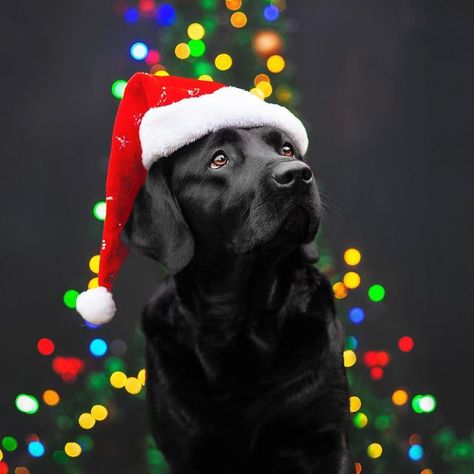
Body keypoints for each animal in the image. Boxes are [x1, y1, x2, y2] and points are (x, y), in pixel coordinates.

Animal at [122, 124, 352, 472]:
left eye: (286, 149)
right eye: (219, 159)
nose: (298, 174)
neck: (242, 327)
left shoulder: (325, 438)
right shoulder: (187, 448)